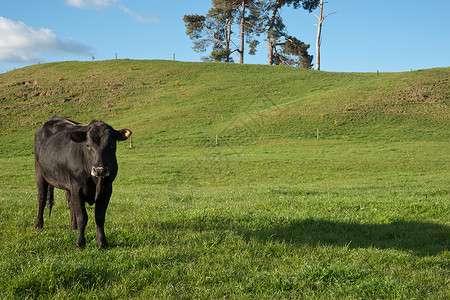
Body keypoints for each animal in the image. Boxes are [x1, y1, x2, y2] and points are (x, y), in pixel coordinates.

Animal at [34, 115, 131, 248]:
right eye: (88, 145)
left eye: (111, 144)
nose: (99, 170)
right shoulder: (77, 188)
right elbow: (82, 217)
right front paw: (80, 244)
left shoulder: (107, 190)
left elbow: (100, 217)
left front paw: (102, 242)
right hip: (40, 172)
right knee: (42, 198)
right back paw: (39, 225)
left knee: (70, 203)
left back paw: (73, 227)